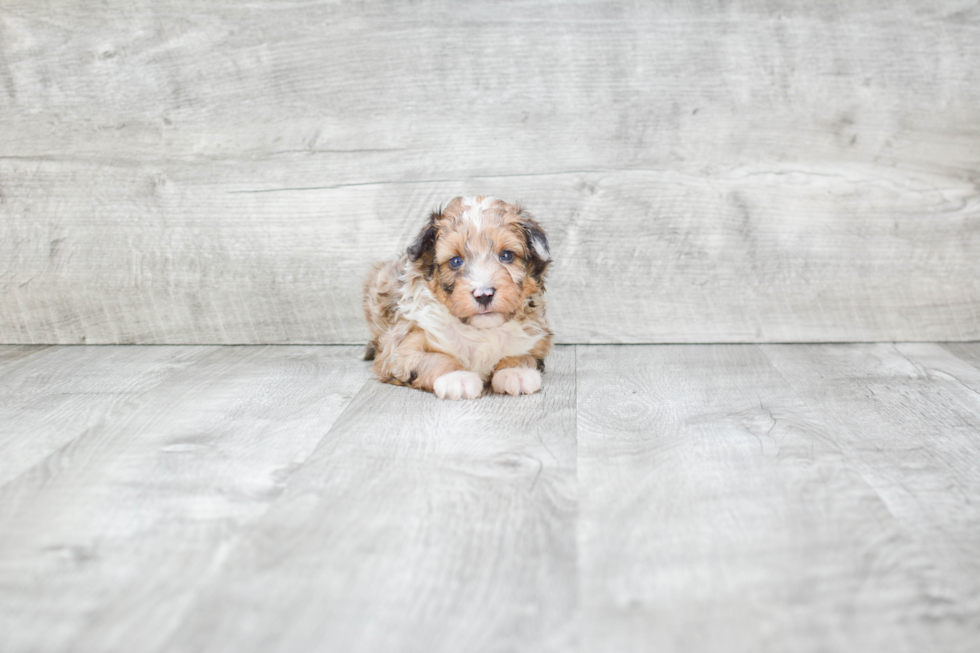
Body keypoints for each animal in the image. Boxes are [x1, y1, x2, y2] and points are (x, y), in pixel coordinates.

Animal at [364, 195, 556, 398]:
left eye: (506, 255)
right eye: (456, 261)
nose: (484, 295)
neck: (480, 330)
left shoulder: (537, 340)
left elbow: (524, 353)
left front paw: (515, 371)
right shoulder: (400, 348)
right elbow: (433, 358)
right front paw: (457, 377)